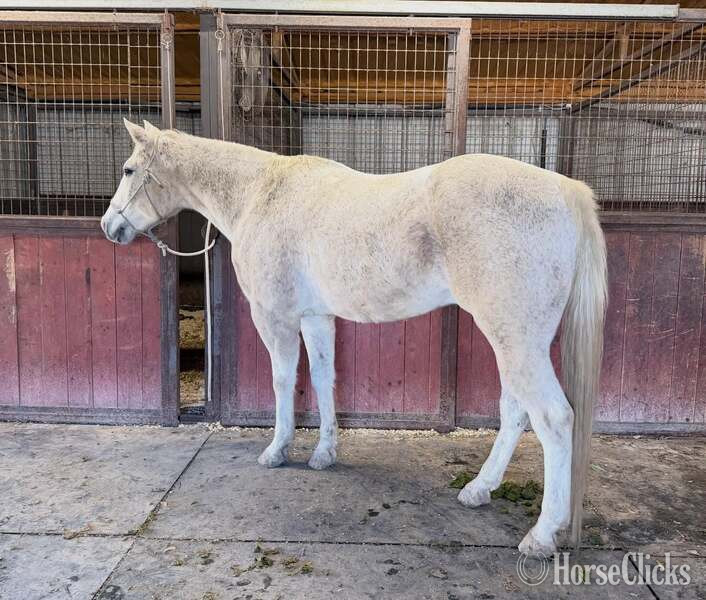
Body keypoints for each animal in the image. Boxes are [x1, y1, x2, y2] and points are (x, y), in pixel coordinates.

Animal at [101, 119, 607, 556]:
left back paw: (541, 534)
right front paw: (324, 453)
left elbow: (283, 381)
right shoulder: (317, 316)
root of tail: (567, 190)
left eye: (128, 169)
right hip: (517, 340)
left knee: (554, 418)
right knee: (516, 412)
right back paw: (479, 489)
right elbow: (325, 380)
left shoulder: (275, 317)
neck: (259, 195)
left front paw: (277, 451)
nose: (109, 226)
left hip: (514, 338)